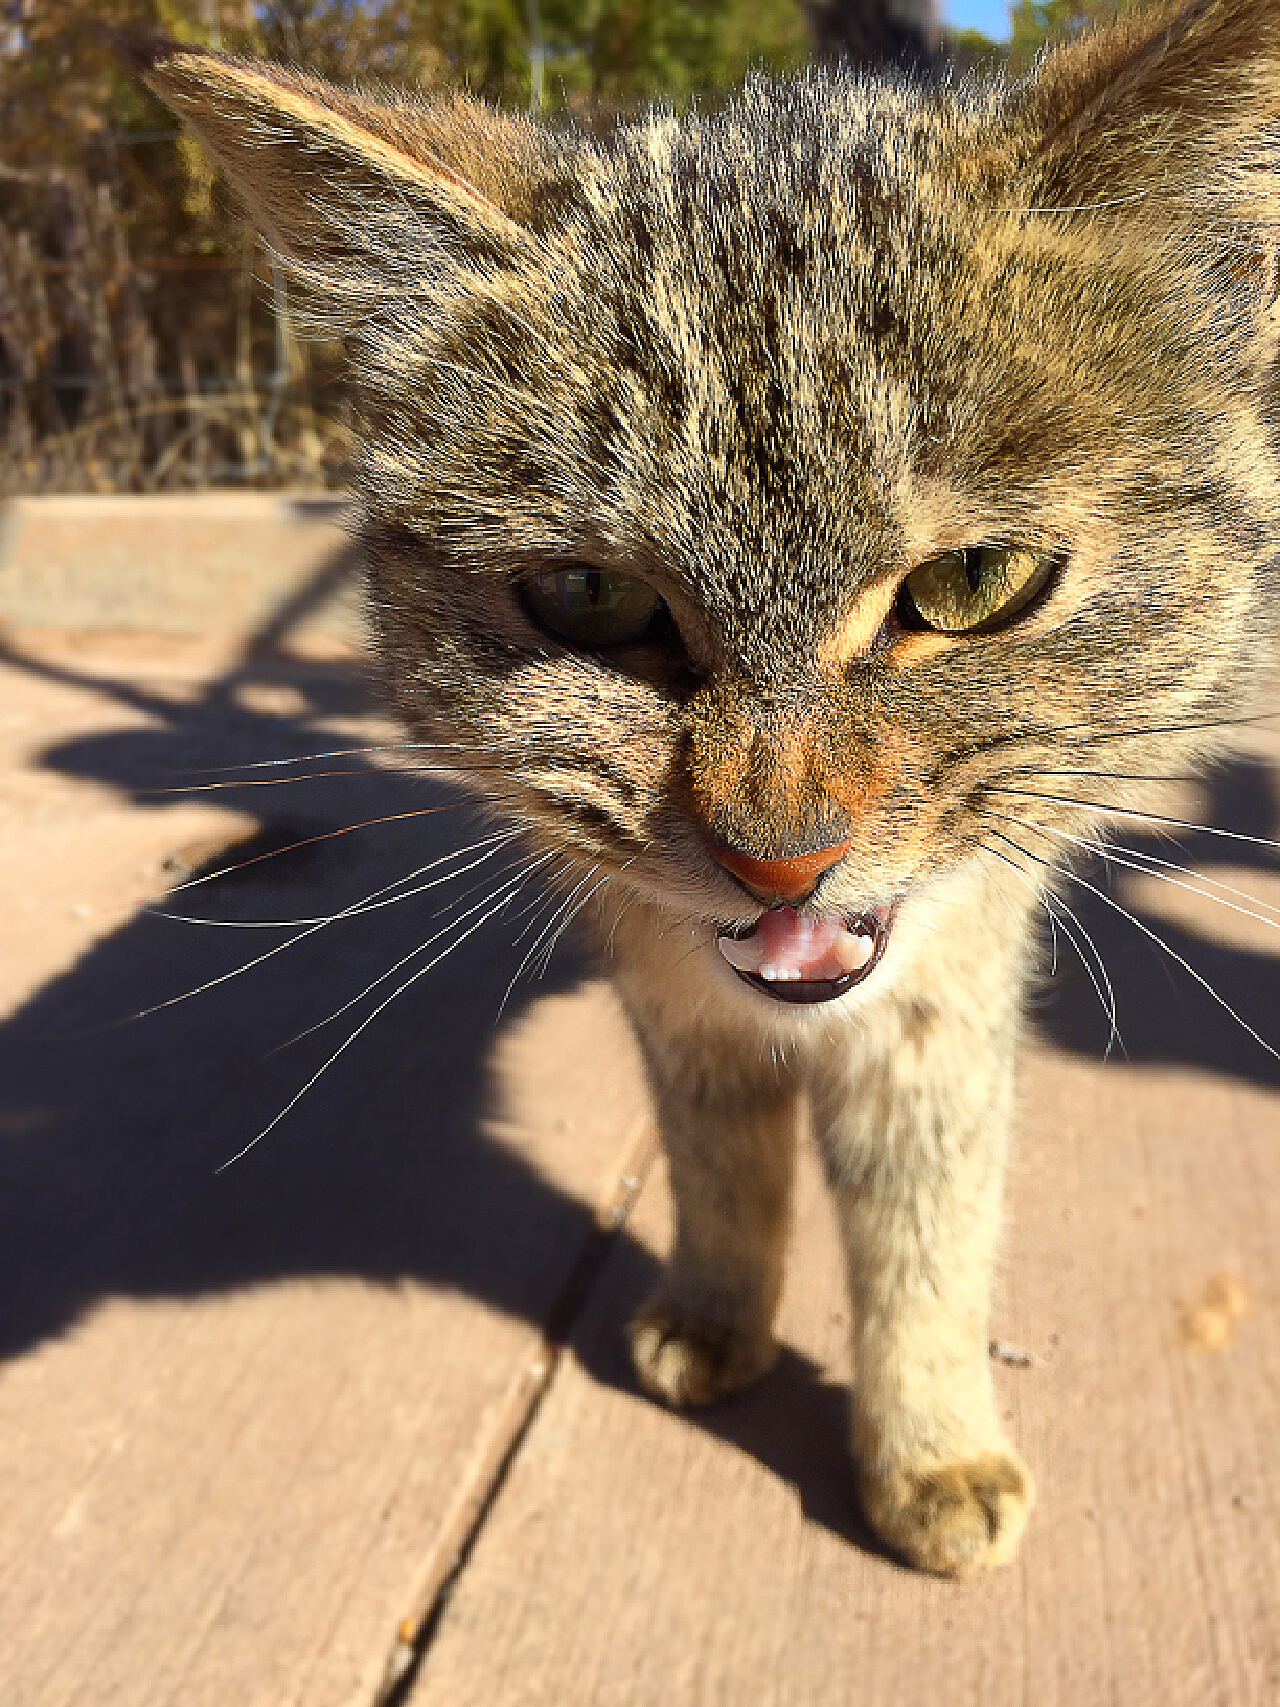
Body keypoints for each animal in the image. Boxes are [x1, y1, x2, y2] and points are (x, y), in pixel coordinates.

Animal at [133, 0, 1280, 1577]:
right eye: (586, 596)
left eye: (975, 582)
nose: (780, 861)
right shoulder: (662, 967)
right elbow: (719, 1162)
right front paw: (721, 1311)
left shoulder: (948, 983)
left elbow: (929, 1225)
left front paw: (929, 1444)